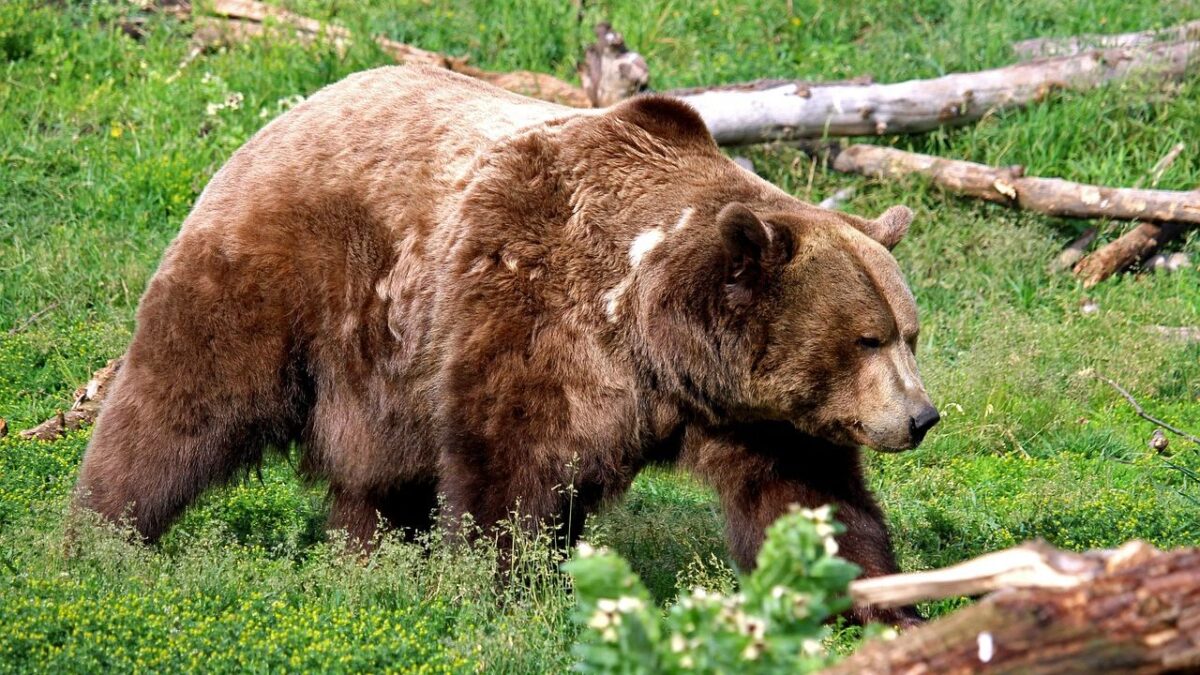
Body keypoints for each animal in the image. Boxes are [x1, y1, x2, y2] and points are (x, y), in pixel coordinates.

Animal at [74, 65, 939, 625]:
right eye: (867, 338)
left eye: (909, 333)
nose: (923, 417)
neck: (656, 334)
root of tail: (278, 117)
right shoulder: (536, 310)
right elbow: (514, 466)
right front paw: (503, 594)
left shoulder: (755, 413)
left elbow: (807, 497)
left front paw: (873, 601)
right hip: (286, 272)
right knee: (182, 402)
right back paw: (101, 534)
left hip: (382, 366)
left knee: (378, 479)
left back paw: (370, 561)